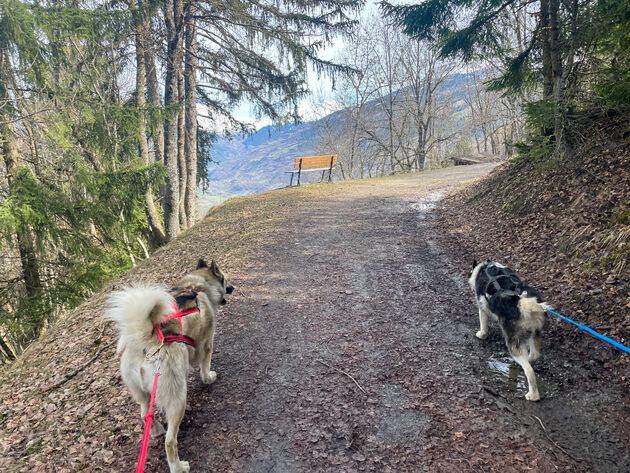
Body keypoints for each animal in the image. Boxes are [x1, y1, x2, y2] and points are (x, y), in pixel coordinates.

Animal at [472, 260, 552, 400]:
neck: (485, 267)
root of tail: (524, 304)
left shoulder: (482, 304)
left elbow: (483, 323)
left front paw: (481, 334)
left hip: (513, 341)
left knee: (529, 371)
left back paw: (533, 395)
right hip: (535, 333)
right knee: (534, 355)